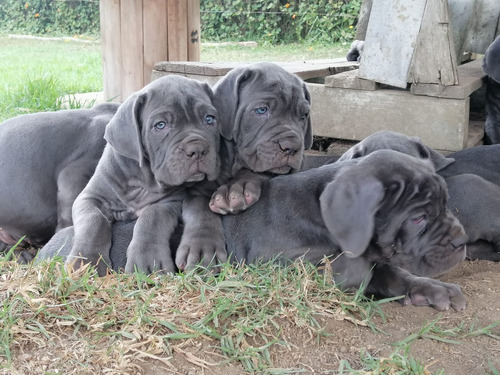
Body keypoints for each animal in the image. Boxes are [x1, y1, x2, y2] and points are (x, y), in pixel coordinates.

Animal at [37, 150, 466, 312]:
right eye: (418, 218)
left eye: (446, 202)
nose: (462, 242)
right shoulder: (286, 267)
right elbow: (360, 269)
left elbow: (390, 270)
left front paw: (433, 290)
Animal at [67, 75, 221, 276]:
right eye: (160, 125)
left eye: (209, 119)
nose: (197, 149)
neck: (142, 180)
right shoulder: (90, 198)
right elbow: (94, 220)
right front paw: (86, 261)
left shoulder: (170, 201)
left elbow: (151, 216)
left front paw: (148, 259)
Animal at [174, 63, 310, 272]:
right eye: (261, 110)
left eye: (303, 116)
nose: (292, 147)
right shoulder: (197, 187)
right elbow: (200, 208)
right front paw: (202, 247)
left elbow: (255, 171)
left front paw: (236, 189)